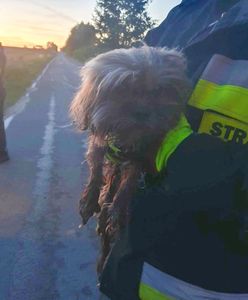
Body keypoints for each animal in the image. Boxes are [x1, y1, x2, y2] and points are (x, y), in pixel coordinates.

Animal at [70, 45, 191, 274]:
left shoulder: (141, 156)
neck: (128, 140)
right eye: (121, 88)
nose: (142, 112)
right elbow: (96, 167)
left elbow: (129, 181)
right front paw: (89, 198)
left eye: (158, 90)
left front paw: (117, 210)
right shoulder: (100, 143)